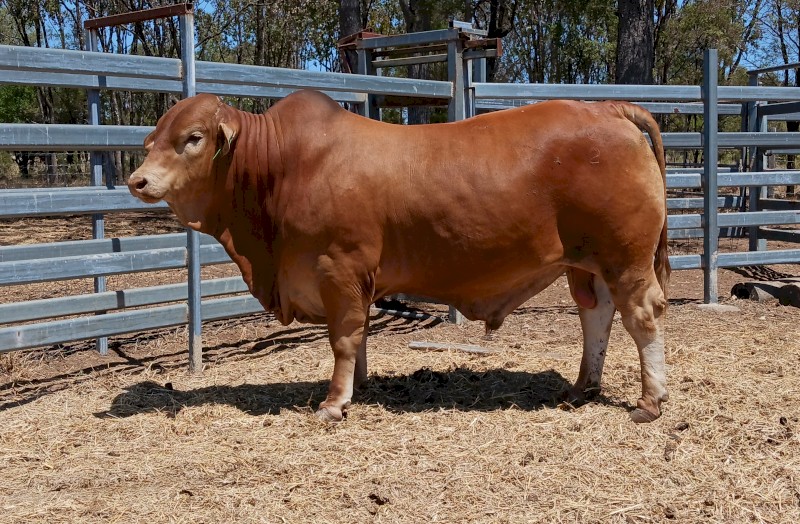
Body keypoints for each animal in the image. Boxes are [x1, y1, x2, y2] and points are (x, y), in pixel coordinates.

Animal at [128, 90, 670, 424]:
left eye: (193, 138)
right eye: (152, 138)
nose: (138, 180)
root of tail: (608, 108)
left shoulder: (339, 268)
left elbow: (344, 337)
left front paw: (334, 402)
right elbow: (360, 335)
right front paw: (359, 386)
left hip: (626, 258)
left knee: (641, 318)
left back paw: (649, 402)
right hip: (586, 264)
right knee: (596, 315)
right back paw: (581, 388)